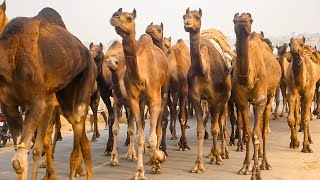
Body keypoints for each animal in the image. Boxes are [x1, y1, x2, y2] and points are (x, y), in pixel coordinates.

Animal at [0, 7, 96, 179]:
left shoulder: (37, 104)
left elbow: (24, 157)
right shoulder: (8, 106)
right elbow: (20, 157)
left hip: (87, 79)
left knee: (77, 132)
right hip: (65, 100)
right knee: (80, 136)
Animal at [110, 8, 170, 179]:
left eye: (129, 18)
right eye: (116, 13)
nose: (115, 17)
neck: (141, 75)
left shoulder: (155, 99)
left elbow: (152, 138)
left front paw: (158, 159)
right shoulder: (134, 100)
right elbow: (139, 136)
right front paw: (139, 172)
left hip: (163, 93)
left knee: (159, 125)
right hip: (143, 102)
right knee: (143, 125)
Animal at [146, 22, 191, 152]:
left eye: (159, 29)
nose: (148, 29)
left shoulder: (183, 90)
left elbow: (182, 116)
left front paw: (183, 144)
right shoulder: (169, 90)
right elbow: (165, 117)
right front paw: (161, 145)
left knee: (183, 112)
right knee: (174, 110)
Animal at [182, 8, 232, 173]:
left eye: (197, 17)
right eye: (184, 16)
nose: (187, 23)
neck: (204, 70)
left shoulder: (217, 98)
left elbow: (215, 128)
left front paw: (217, 158)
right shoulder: (196, 98)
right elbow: (200, 129)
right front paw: (198, 165)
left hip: (225, 98)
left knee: (221, 123)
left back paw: (222, 153)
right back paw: (211, 154)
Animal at [231, 12, 282, 179]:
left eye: (250, 19)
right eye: (234, 20)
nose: (242, 19)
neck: (248, 77)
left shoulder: (260, 101)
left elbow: (256, 134)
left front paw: (256, 172)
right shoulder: (242, 102)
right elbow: (248, 133)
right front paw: (245, 167)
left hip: (270, 96)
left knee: (264, 130)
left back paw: (264, 162)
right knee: (258, 130)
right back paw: (257, 157)